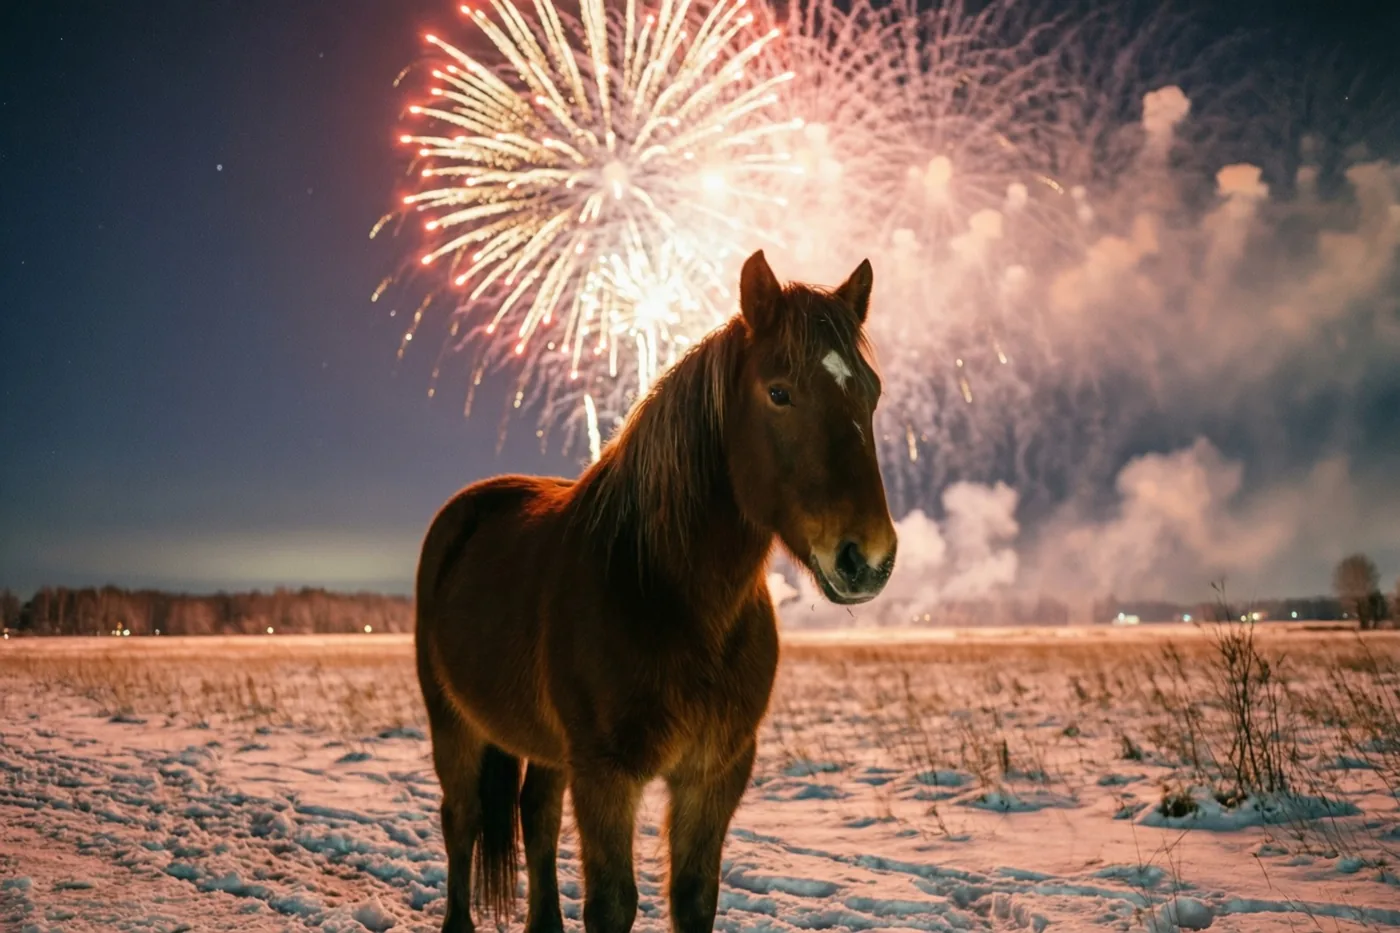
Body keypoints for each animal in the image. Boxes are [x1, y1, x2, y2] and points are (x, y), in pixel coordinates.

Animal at [414, 249, 898, 933]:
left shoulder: (715, 773)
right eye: (779, 393)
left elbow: (693, 897)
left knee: (537, 819)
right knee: (461, 823)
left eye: (871, 393)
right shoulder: (606, 776)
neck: (674, 597)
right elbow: (612, 904)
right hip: (452, 724)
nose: (868, 559)